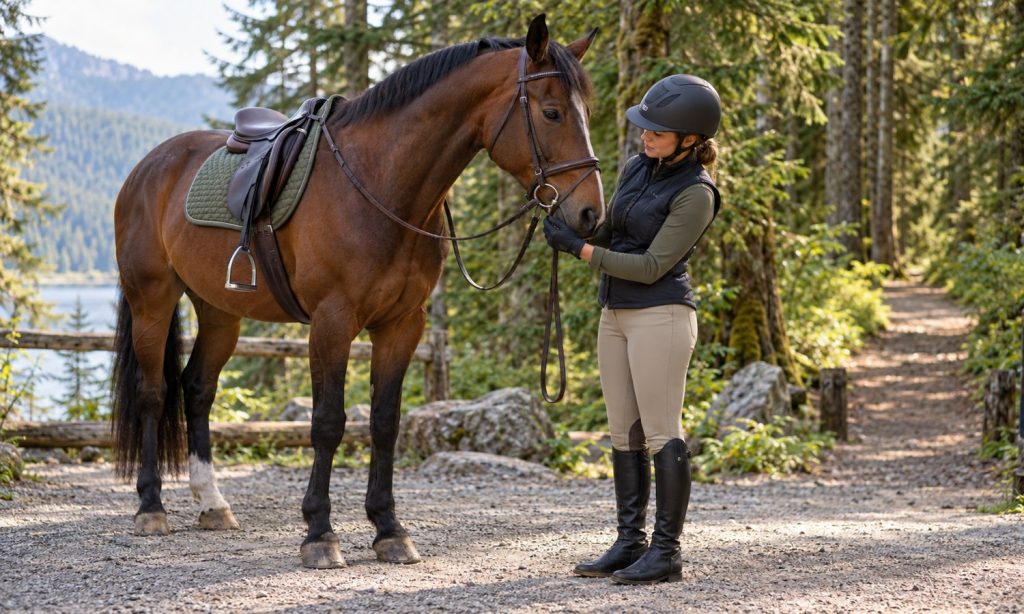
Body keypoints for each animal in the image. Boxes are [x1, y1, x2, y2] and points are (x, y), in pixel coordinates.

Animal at [110, 14, 603, 568]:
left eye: (586, 112)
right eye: (552, 112)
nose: (590, 213)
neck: (379, 183)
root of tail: (151, 165)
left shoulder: (402, 325)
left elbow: (385, 422)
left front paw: (389, 529)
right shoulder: (332, 322)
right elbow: (328, 422)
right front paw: (319, 534)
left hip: (219, 312)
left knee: (197, 389)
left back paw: (212, 503)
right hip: (152, 300)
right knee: (154, 394)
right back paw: (151, 508)